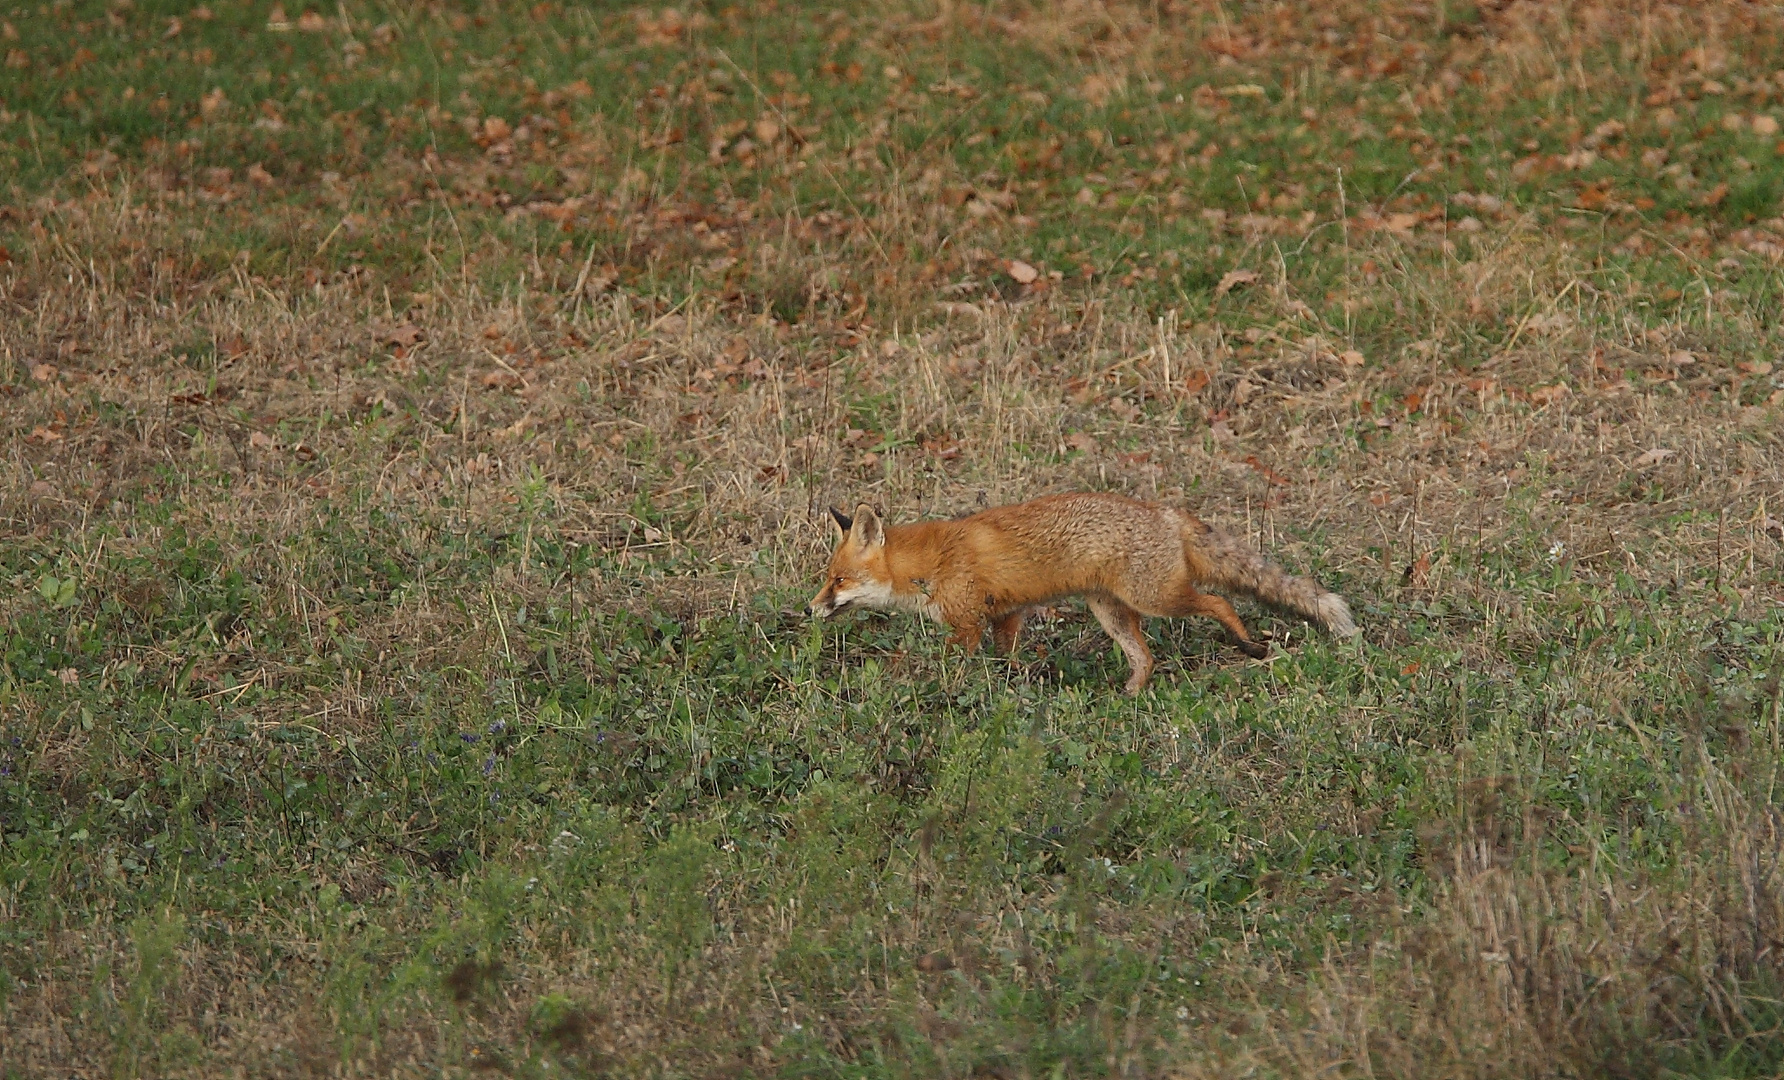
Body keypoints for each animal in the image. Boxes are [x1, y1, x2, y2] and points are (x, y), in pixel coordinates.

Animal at [806, 492, 1358, 694]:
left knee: (1218, 602)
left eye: (838, 581)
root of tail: (1166, 511)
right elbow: (1007, 660)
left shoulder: (968, 624)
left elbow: (946, 664)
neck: (926, 563)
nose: (810, 609)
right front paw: (1018, 688)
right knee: (1146, 657)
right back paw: (1130, 696)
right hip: (1112, 612)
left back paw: (1249, 646)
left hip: (1157, 598)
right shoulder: (1006, 616)